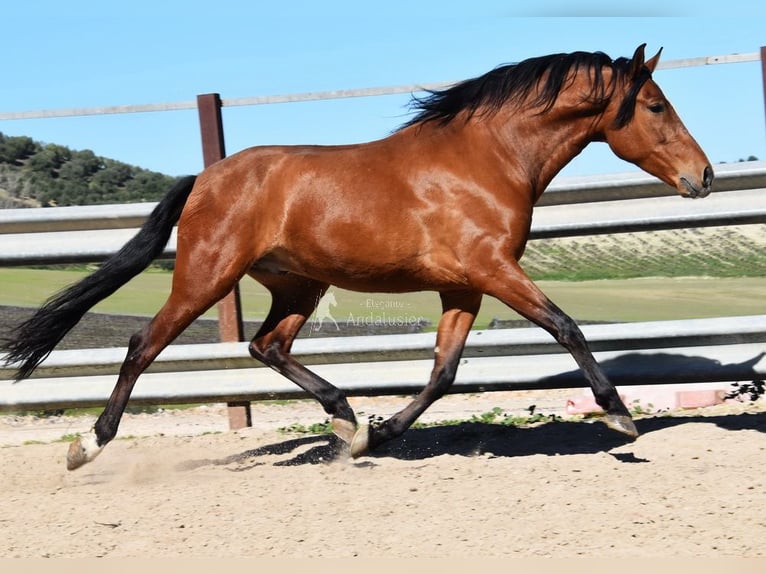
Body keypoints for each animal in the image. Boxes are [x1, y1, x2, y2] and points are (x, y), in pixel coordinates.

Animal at [1, 44, 713, 470]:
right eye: (655, 105)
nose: (703, 176)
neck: (487, 159)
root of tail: (205, 178)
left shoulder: (465, 287)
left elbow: (444, 373)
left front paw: (381, 431)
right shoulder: (493, 270)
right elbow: (566, 326)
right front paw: (621, 419)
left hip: (297, 285)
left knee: (267, 345)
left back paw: (346, 421)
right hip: (207, 276)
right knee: (144, 345)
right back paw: (89, 445)